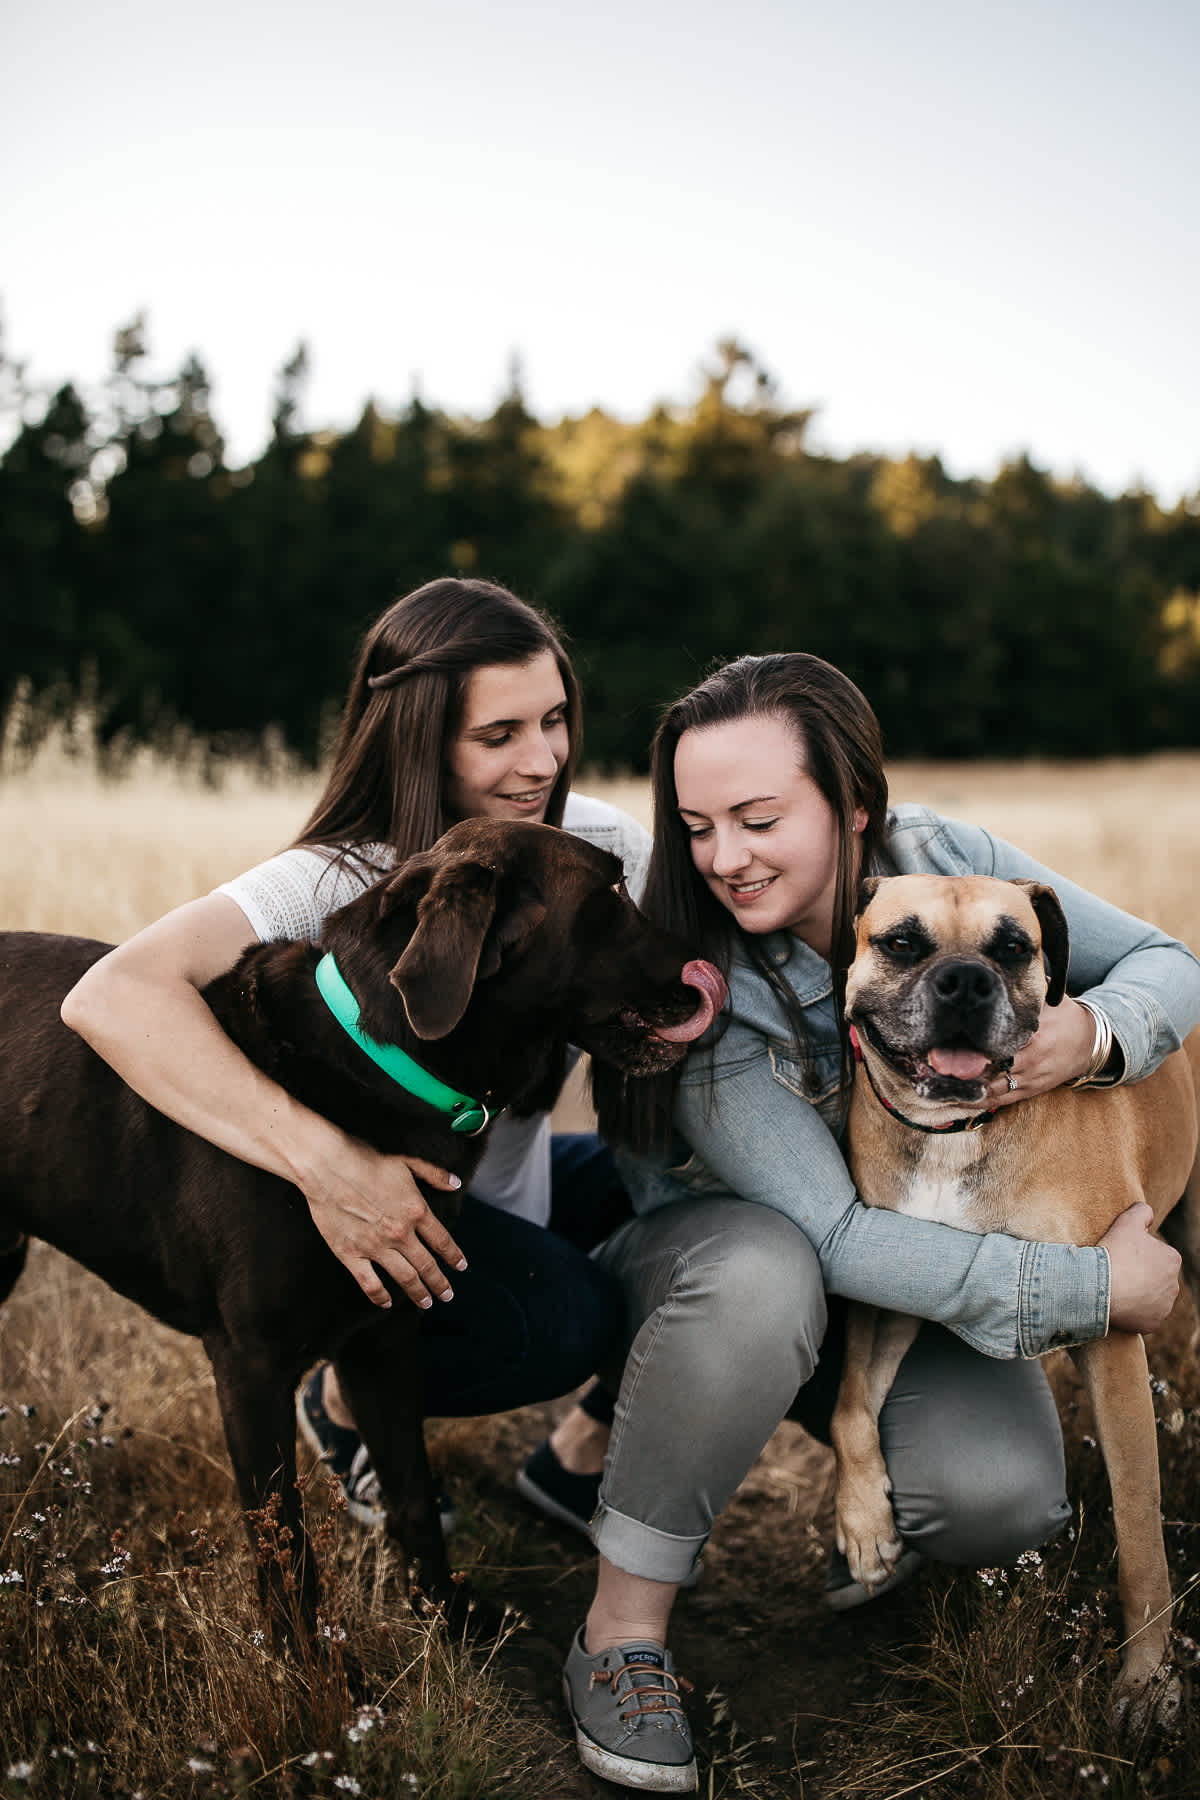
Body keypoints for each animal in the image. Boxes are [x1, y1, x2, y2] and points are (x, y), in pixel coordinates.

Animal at [834, 878, 1200, 1720]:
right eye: (902, 943)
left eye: (1012, 948)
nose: (966, 982)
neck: (954, 1130)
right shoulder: (891, 1289)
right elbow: (849, 1404)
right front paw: (865, 1522)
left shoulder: (1113, 1331)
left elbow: (1139, 1529)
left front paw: (1146, 1681)